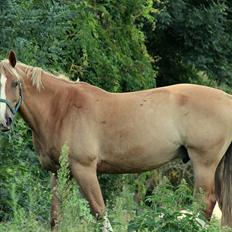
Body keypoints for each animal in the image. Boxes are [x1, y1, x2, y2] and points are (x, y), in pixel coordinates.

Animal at [0, 50, 232, 228]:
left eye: (15, 83)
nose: (4, 121)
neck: (61, 109)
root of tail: (227, 98)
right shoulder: (58, 172)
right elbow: (56, 218)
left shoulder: (84, 169)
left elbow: (100, 214)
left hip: (204, 163)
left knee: (204, 204)